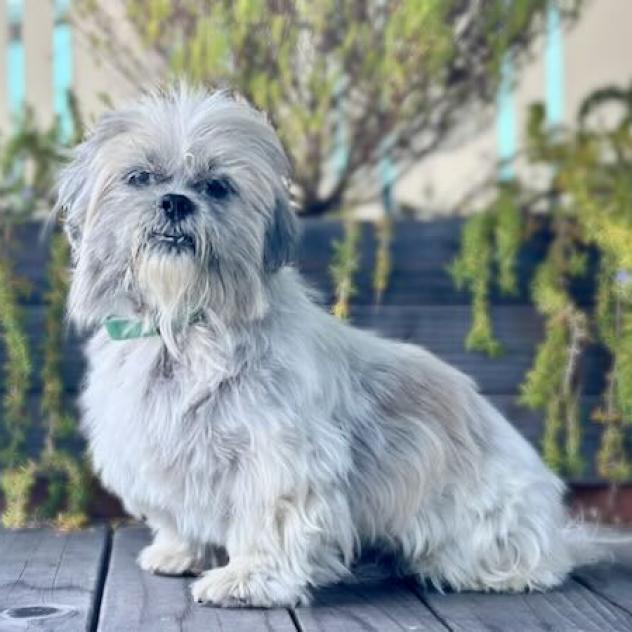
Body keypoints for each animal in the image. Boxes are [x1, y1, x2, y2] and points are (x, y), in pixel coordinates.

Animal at [56, 85, 596, 608]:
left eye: (217, 187)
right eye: (140, 177)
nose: (174, 201)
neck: (183, 327)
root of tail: (555, 531)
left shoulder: (277, 458)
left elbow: (267, 522)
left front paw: (248, 580)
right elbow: (177, 515)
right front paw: (180, 552)